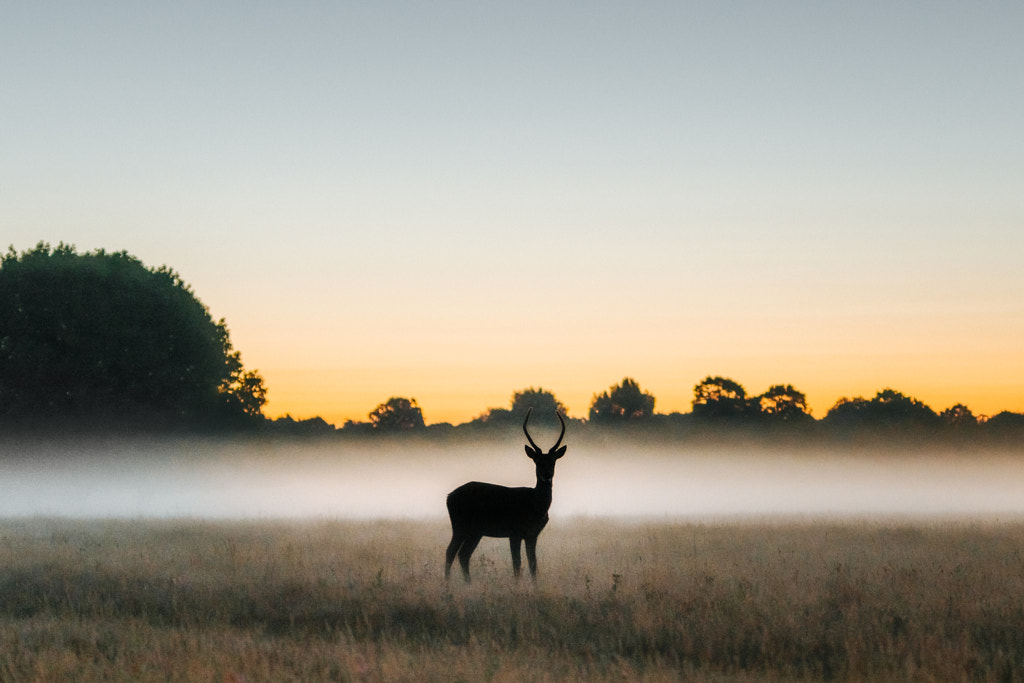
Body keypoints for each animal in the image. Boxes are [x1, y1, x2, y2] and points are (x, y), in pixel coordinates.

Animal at [442, 409, 565, 585]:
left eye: (553, 461)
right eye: (537, 461)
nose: (546, 475)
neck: (535, 507)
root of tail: (448, 497)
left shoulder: (532, 534)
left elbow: (533, 565)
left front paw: (535, 587)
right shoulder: (514, 532)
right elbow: (517, 564)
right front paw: (517, 587)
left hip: (476, 531)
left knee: (464, 554)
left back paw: (468, 584)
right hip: (460, 525)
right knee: (450, 552)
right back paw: (447, 584)